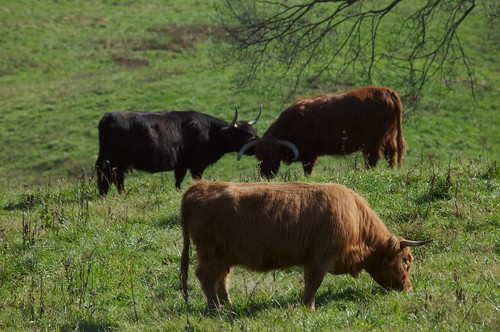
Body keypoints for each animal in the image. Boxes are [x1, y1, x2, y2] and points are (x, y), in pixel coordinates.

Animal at [95, 106, 264, 195]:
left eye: (253, 130)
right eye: (244, 134)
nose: (258, 145)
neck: (210, 132)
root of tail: (109, 116)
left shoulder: (181, 165)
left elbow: (178, 181)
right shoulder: (197, 165)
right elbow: (196, 178)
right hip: (116, 161)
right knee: (113, 178)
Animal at [180, 180, 430, 310]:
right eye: (405, 262)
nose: (409, 289)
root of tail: (199, 187)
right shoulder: (320, 257)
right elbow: (313, 282)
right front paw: (308, 306)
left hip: (225, 256)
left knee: (222, 278)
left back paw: (227, 303)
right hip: (212, 254)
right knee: (206, 276)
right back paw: (215, 307)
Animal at [238, 87, 406, 178]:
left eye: (273, 156)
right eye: (259, 157)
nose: (265, 175)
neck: (290, 125)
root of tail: (387, 91)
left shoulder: (308, 153)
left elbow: (307, 169)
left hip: (373, 141)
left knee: (373, 158)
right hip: (390, 135)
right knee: (392, 154)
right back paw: (392, 170)